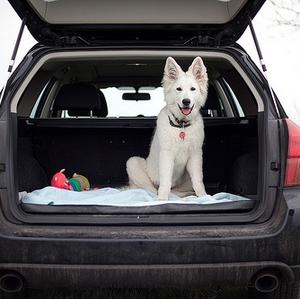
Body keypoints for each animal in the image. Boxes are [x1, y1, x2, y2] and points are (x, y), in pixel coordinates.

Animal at [125, 56, 207, 202]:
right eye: (179, 89)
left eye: (193, 89)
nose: (186, 101)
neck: (181, 125)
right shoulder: (166, 155)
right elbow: (165, 181)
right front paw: (162, 200)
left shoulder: (195, 155)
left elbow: (198, 180)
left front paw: (204, 197)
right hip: (133, 162)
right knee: (149, 189)